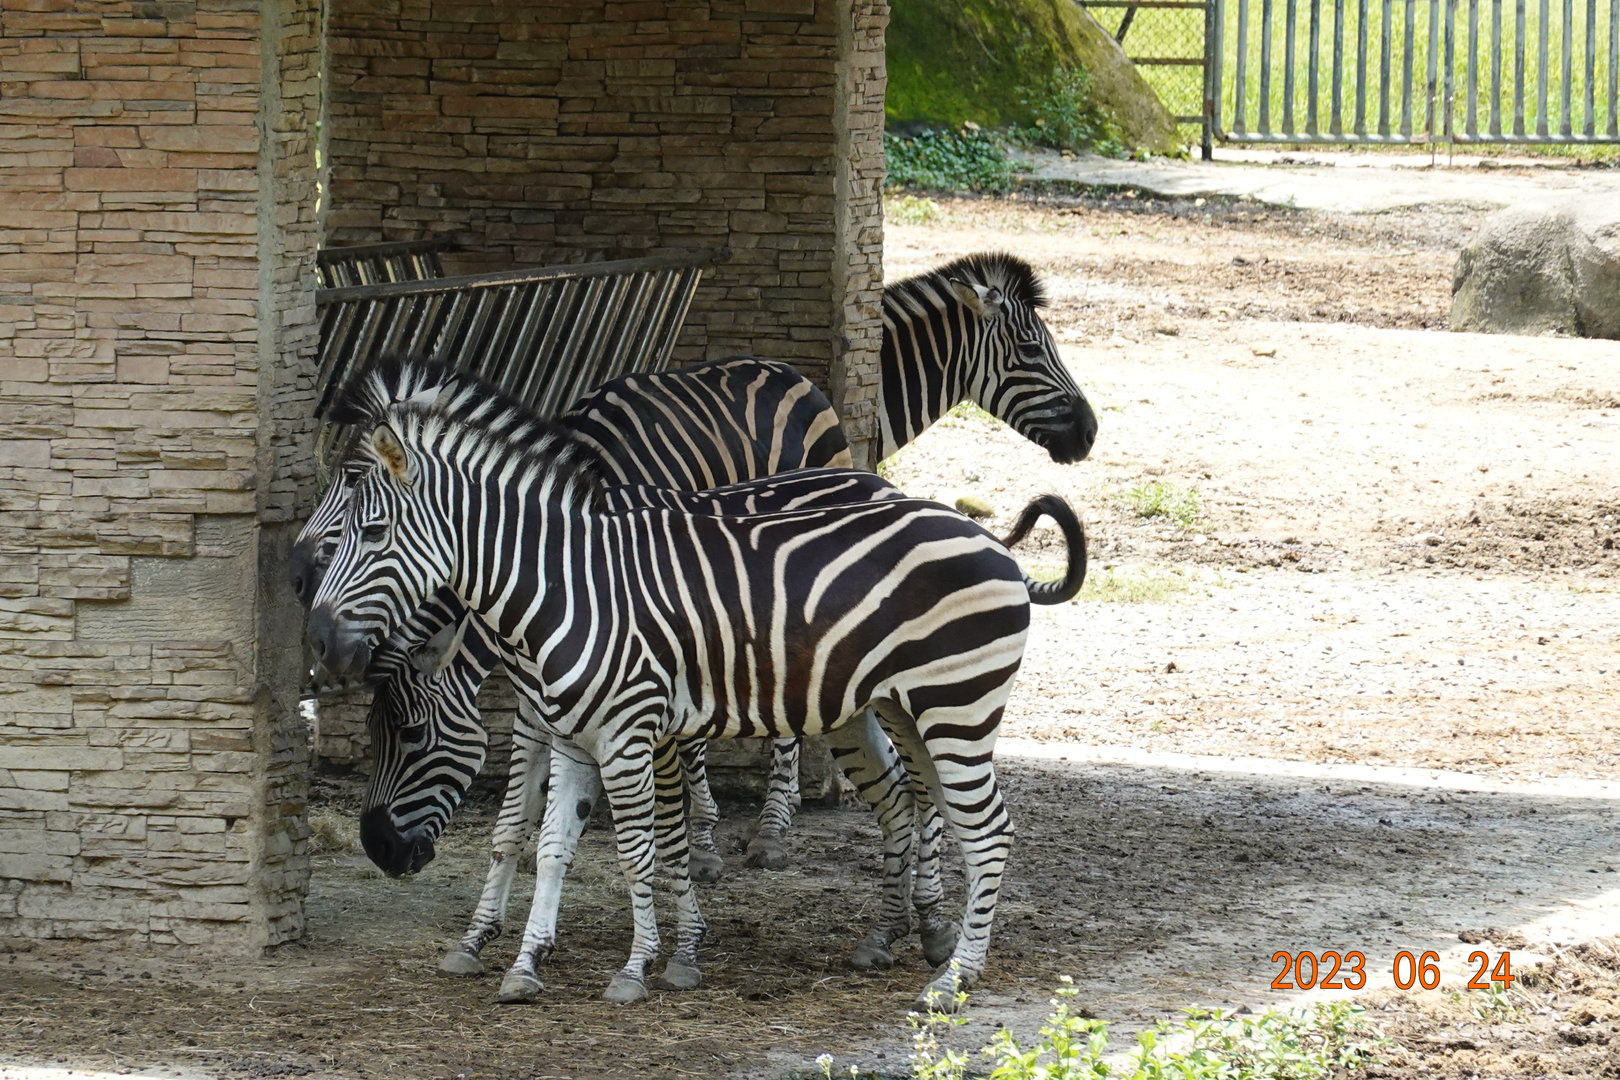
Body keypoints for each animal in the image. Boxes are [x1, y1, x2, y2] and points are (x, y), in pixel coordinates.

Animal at [306, 401, 1087, 1009]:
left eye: (371, 534)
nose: (319, 641)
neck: (562, 591)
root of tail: (985, 536)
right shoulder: (571, 735)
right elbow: (547, 846)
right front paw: (524, 964)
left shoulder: (629, 732)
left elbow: (643, 851)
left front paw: (640, 967)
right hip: (903, 707)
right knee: (918, 802)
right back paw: (910, 938)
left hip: (959, 707)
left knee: (989, 832)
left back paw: (955, 979)